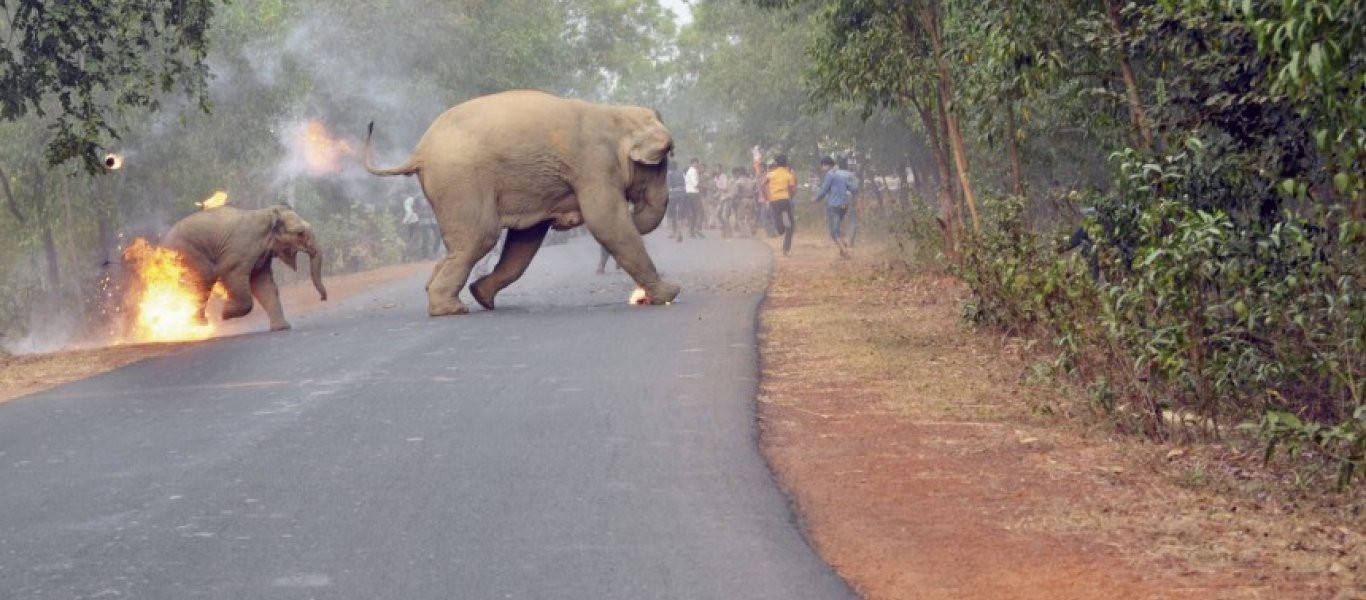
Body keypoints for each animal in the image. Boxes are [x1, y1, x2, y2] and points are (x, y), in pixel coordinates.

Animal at [161, 205, 326, 330]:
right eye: (300, 233)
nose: (322, 299)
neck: (268, 213)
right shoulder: (241, 249)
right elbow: (231, 273)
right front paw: (225, 314)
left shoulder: (262, 256)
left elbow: (264, 285)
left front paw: (282, 328)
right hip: (188, 253)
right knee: (204, 279)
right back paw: (198, 324)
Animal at [366, 91, 680, 317]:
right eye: (662, 163)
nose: (636, 211)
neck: (616, 114)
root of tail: (419, 151)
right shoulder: (595, 165)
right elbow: (607, 222)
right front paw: (670, 294)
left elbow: (526, 240)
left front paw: (482, 294)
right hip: (461, 180)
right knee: (480, 237)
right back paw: (450, 309)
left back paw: (453, 296)